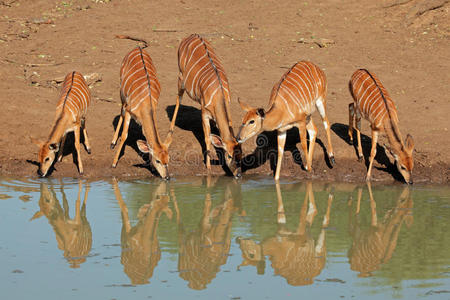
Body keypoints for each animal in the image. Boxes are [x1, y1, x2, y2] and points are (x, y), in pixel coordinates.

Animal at [168, 33, 243, 178]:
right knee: (178, 98)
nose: (238, 175)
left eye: (241, 155)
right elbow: (207, 138)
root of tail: (191, 35)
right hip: (181, 78)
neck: (219, 94)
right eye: (229, 156)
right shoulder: (204, 114)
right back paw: (171, 129)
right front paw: (208, 167)